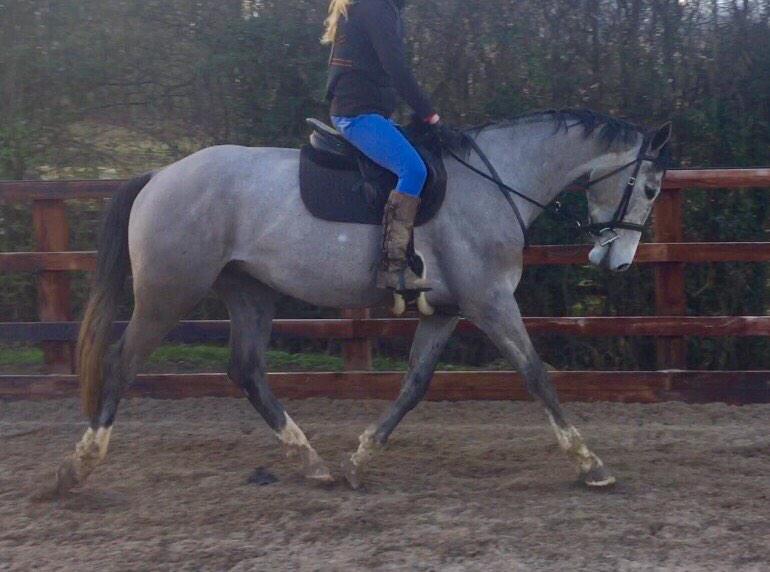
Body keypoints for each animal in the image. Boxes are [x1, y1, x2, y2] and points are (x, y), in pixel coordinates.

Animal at [50, 109, 671, 497]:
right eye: (649, 187)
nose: (617, 262)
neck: (495, 183)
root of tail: (160, 176)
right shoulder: (490, 301)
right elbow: (537, 374)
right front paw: (591, 465)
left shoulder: (449, 310)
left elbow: (414, 385)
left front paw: (359, 459)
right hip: (169, 293)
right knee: (122, 363)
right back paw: (77, 468)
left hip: (249, 290)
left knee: (247, 371)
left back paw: (314, 464)